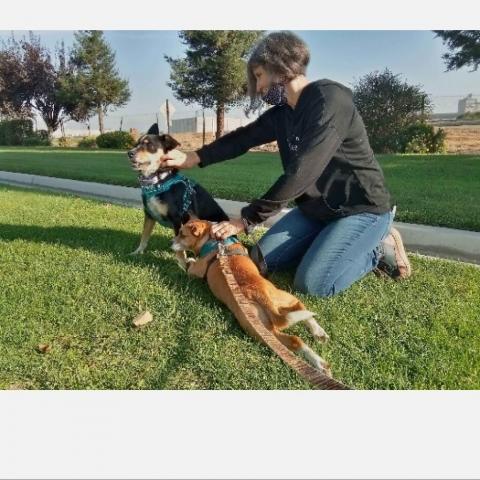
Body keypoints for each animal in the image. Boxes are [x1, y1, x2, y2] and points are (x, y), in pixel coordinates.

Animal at [127, 123, 229, 258]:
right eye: (136, 144)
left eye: (149, 145)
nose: (129, 153)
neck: (159, 181)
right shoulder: (149, 215)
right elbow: (144, 236)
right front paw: (138, 252)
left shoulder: (177, 219)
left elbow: (180, 246)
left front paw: (181, 259)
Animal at [172, 218, 334, 376]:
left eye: (182, 234)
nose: (171, 242)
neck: (213, 239)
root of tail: (258, 293)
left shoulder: (194, 271)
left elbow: (186, 263)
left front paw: (184, 257)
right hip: (283, 301)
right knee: (299, 322)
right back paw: (319, 343)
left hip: (256, 329)